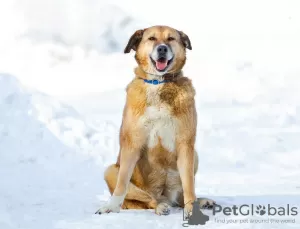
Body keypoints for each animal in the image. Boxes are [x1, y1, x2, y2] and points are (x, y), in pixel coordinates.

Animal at [95, 25, 214, 216]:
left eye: (171, 38)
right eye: (151, 38)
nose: (162, 49)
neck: (159, 84)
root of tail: (165, 196)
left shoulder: (185, 144)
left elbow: (189, 184)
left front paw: (191, 209)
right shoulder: (131, 144)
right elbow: (122, 184)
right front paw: (110, 207)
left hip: (194, 155)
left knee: (181, 196)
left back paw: (201, 201)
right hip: (111, 171)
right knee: (148, 199)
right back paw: (160, 206)